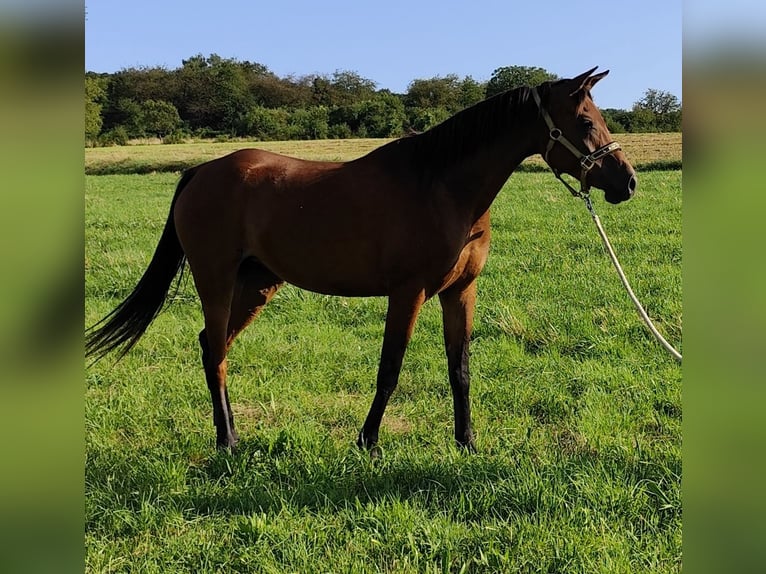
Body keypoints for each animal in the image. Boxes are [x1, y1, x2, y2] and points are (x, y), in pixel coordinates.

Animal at [85, 67, 636, 454]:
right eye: (584, 121)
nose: (627, 181)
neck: (442, 186)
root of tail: (200, 171)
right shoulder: (408, 292)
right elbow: (390, 368)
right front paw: (368, 441)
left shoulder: (461, 292)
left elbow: (459, 369)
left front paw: (467, 443)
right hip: (216, 281)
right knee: (216, 351)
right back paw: (228, 442)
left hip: (256, 285)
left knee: (211, 345)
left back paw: (233, 432)